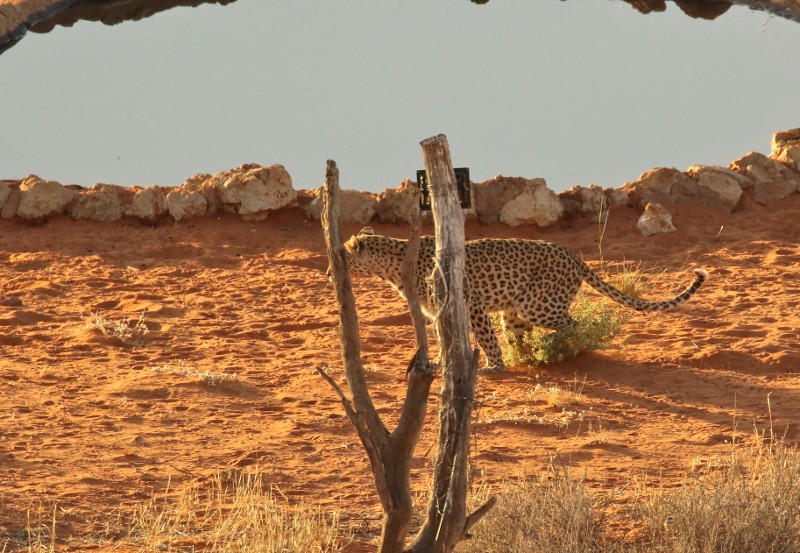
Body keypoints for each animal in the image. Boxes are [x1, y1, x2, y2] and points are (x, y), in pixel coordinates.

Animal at [341, 227, 707, 371]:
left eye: (343, 256)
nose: (333, 271)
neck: (392, 265)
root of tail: (571, 255)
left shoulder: (471, 304)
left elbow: (485, 339)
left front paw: (493, 367)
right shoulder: (437, 313)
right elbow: (445, 340)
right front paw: (444, 364)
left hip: (538, 305)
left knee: (573, 324)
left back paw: (557, 350)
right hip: (515, 311)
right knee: (521, 334)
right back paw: (530, 355)